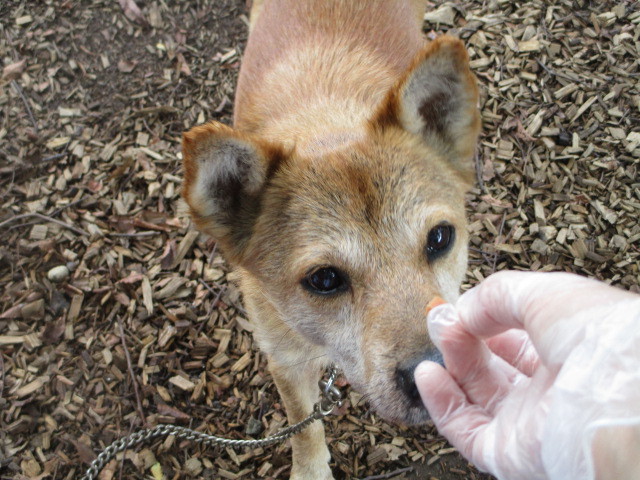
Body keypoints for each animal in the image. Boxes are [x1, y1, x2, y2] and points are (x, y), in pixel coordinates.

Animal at [179, 1, 476, 478]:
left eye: (440, 238)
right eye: (324, 279)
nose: (436, 371)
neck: (326, 121)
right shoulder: (285, 358)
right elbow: (304, 429)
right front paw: (311, 470)